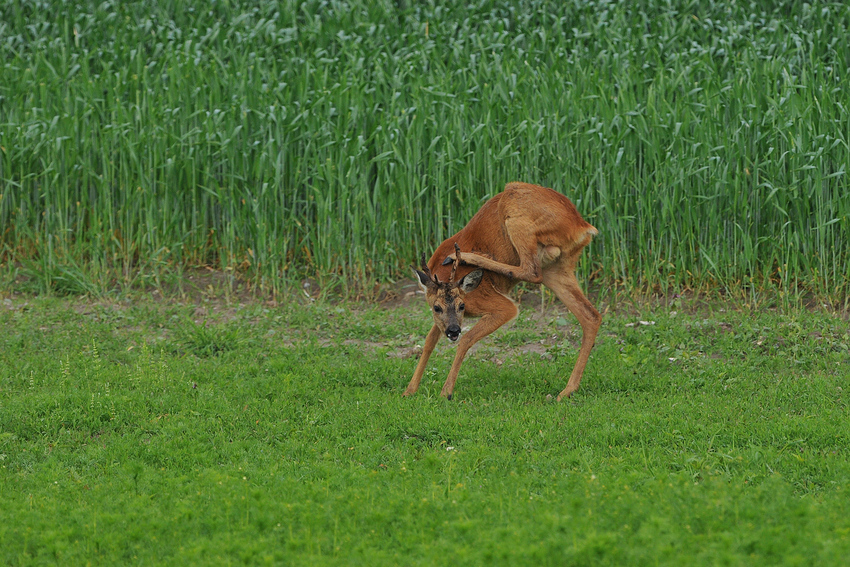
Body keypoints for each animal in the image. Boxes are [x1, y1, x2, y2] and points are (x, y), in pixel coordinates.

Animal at [402, 181, 596, 400]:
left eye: (462, 305)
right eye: (436, 308)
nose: (453, 331)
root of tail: (583, 227)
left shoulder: (499, 306)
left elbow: (467, 338)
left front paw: (446, 392)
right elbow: (429, 341)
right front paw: (409, 390)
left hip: (515, 212)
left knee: (531, 271)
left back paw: (464, 256)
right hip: (558, 268)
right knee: (591, 315)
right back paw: (567, 390)